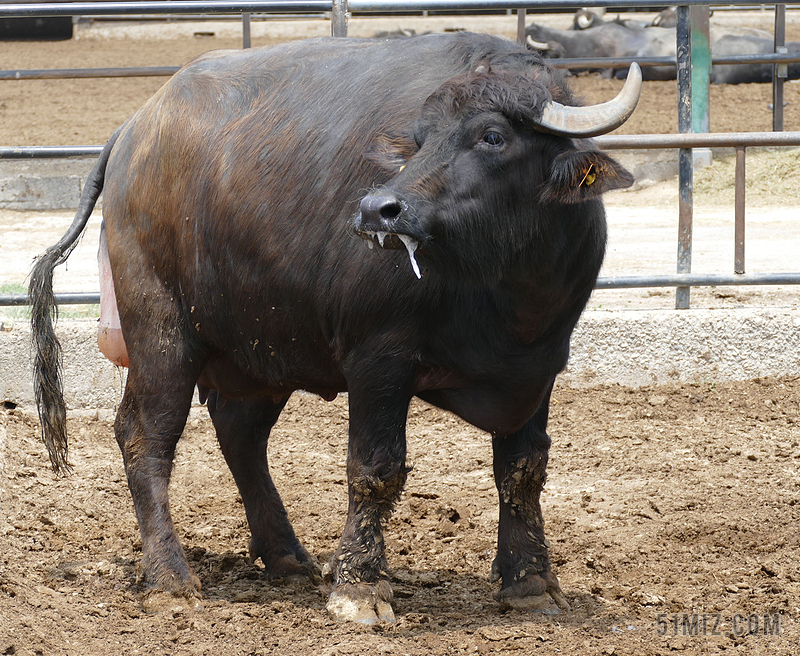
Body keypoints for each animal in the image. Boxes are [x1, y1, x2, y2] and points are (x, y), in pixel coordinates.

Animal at [31, 32, 640, 624]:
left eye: (493, 136)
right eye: (419, 140)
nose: (378, 209)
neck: (505, 292)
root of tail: (135, 130)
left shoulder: (539, 367)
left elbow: (523, 470)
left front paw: (531, 582)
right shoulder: (379, 358)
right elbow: (376, 468)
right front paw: (361, 587)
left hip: (259, 346)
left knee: (239, 432)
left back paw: (287, 556)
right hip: (161, 328)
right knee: (145, 435)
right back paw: (169, 578)